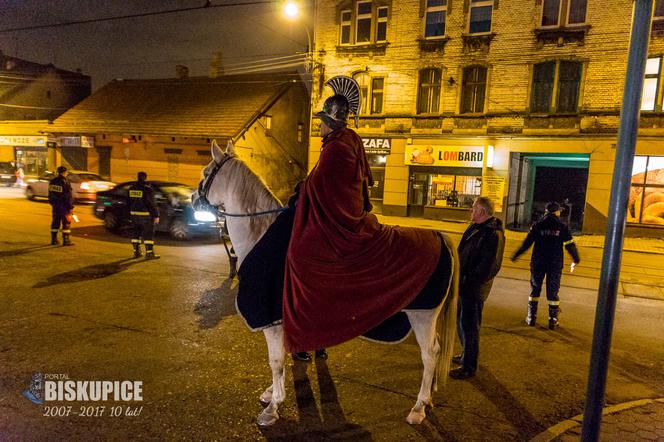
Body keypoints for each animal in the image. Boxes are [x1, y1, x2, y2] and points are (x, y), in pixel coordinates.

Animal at [195, 140, 460, 426]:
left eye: (206, 171)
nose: (193, 199)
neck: (260, 234)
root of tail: (439, 236)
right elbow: (282, 358)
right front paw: (271, 393)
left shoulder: (271, 320)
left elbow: (275, 360)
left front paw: (273, 406)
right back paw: (428, 399)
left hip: (423, 314)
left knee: (430, 354)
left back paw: (419, 406)